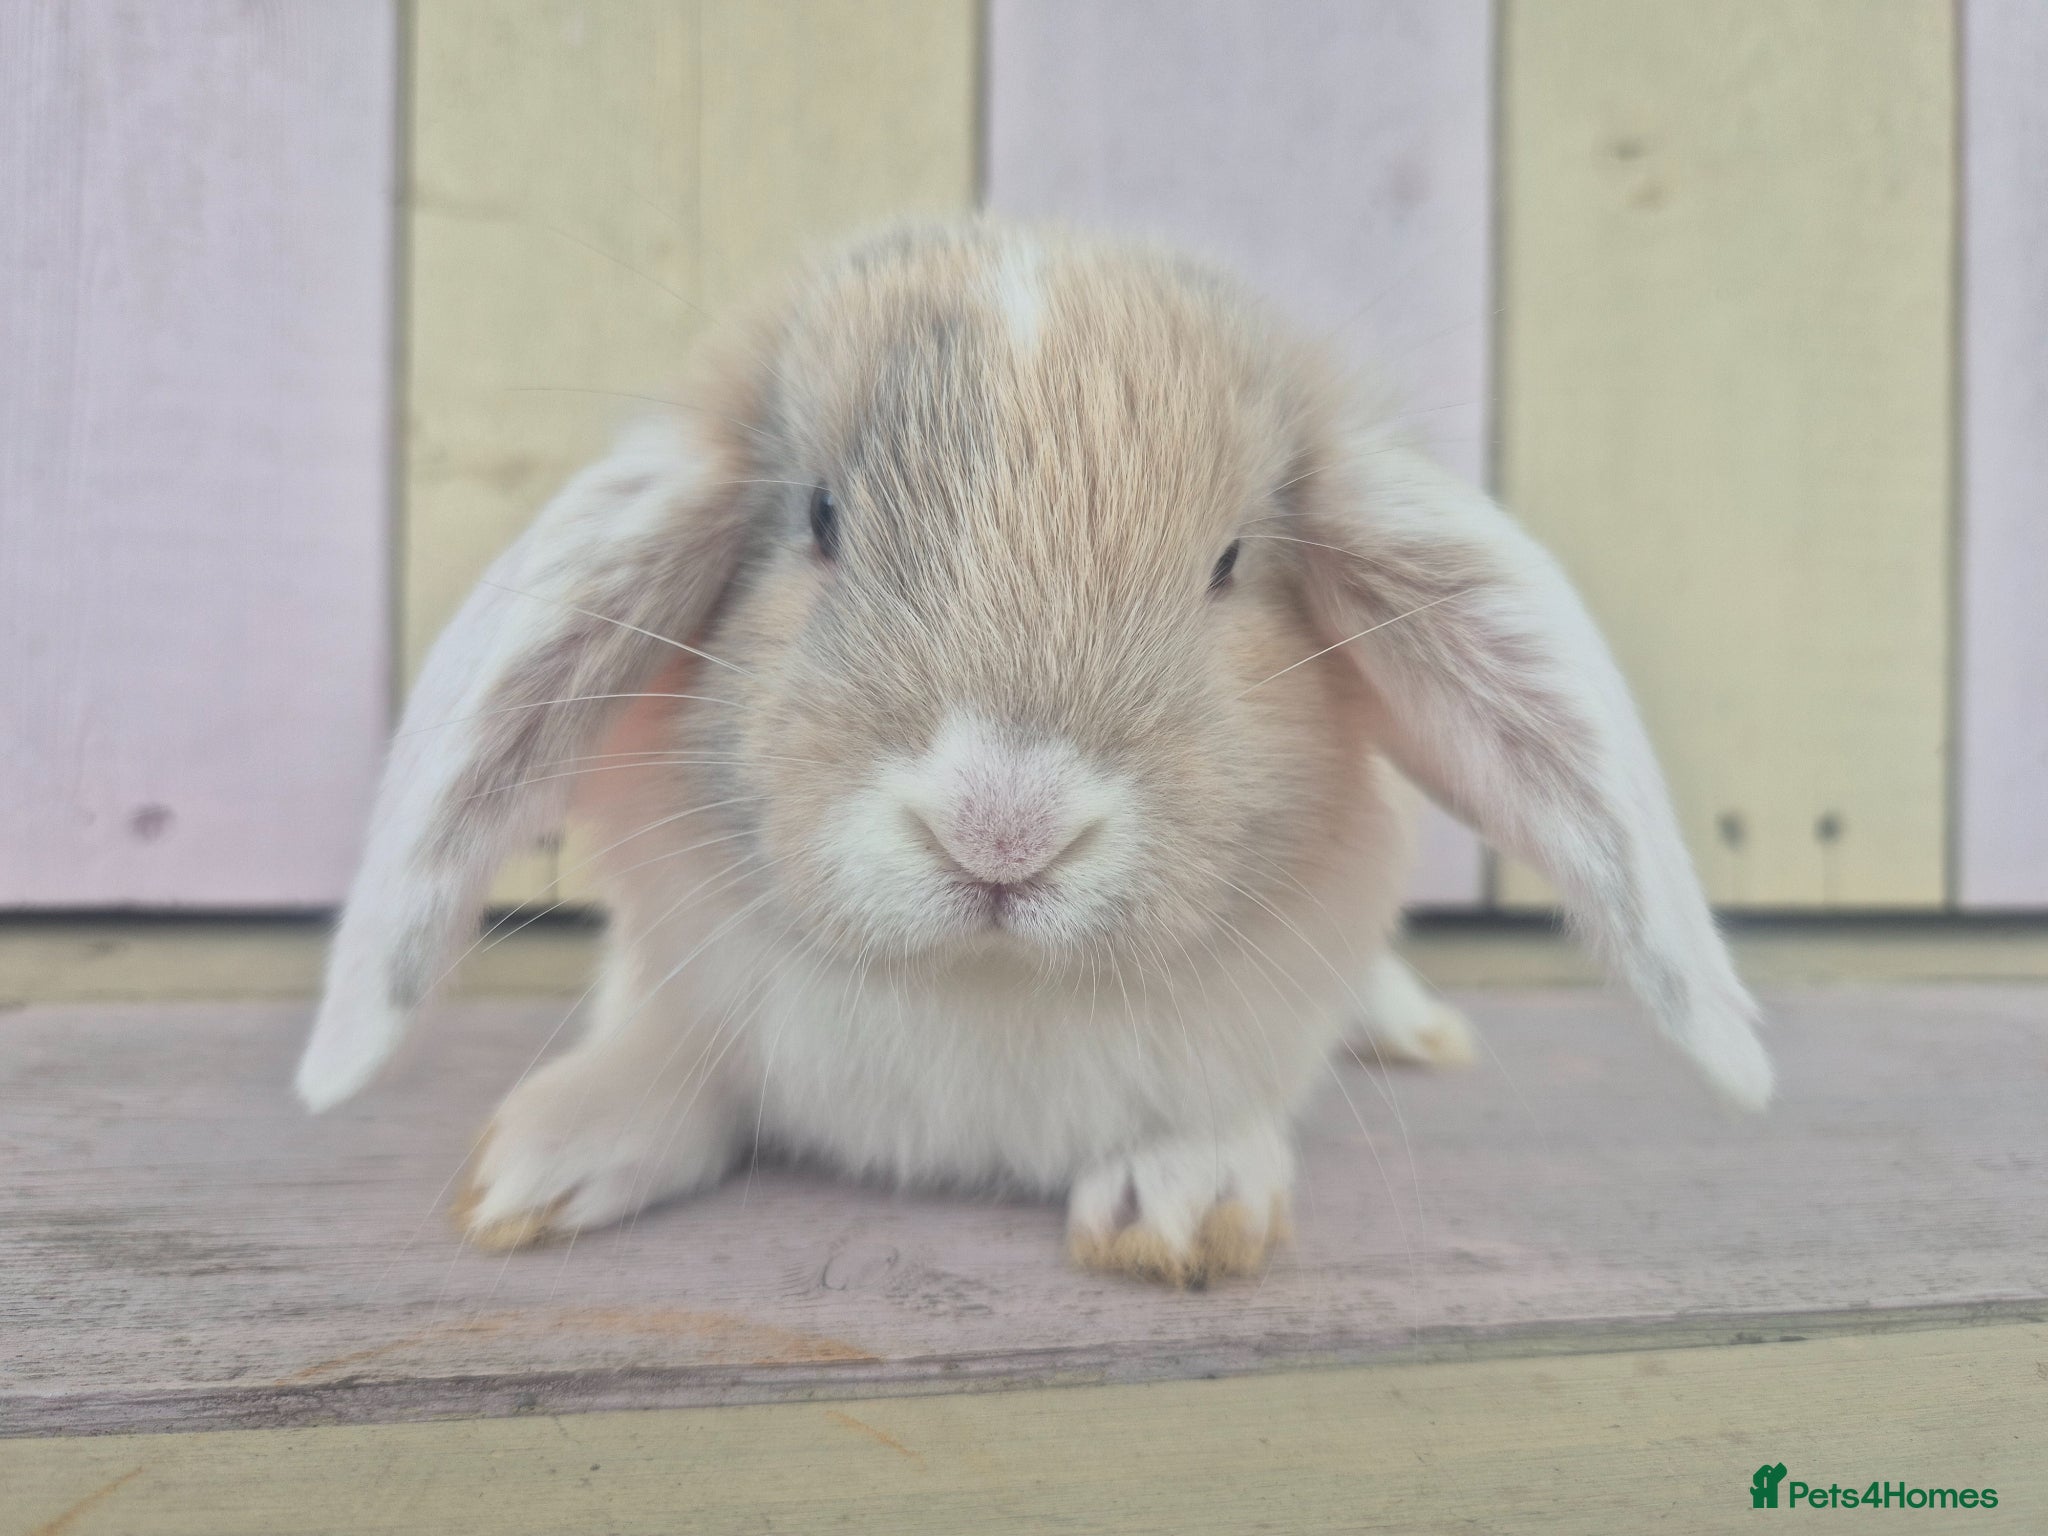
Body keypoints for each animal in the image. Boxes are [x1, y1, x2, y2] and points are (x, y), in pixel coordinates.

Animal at [295, 221, 1771, 1286]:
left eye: (1229, 564)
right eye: (819, 520)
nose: (1001, 828)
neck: (983, 993)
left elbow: (1209, 1127)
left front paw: (1185, 1204)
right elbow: (674, 1077)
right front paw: (535, 1164)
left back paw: (1414, 1031)